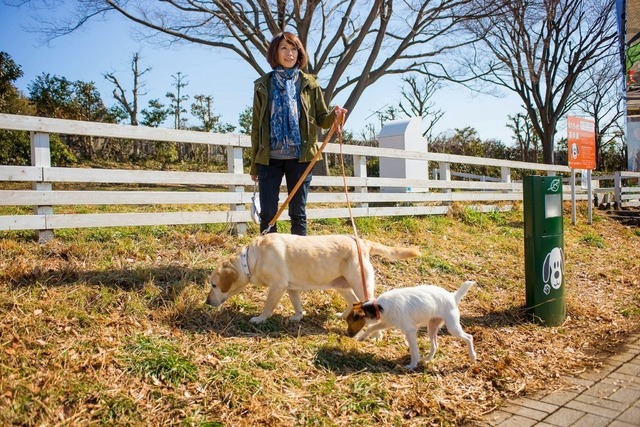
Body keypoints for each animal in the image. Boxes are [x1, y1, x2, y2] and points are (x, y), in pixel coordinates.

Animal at [205, 234, 420, 324]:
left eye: (214, 285)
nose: (206, 302)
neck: (249, 259)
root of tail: (362, 242)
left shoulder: (277, 286)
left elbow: (268, 307)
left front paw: (259, 319)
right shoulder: (290, 287)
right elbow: (297, 303)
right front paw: (298, 316)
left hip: (360, 284)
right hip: (342, 285)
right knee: (352, 302)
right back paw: (343, 316)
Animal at [344, 282, 476, 370]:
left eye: (350, 322)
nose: (347, 335)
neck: (378, 306)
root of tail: (452, 296)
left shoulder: (410, 331)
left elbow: (413, 351)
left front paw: (412, 365)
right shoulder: (388, 322)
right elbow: (372, 327)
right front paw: (363, 337)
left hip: (452, 327)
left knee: (469, 337)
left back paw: (473, 357)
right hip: (432, 327)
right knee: (435, 345)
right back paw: (427, 359)